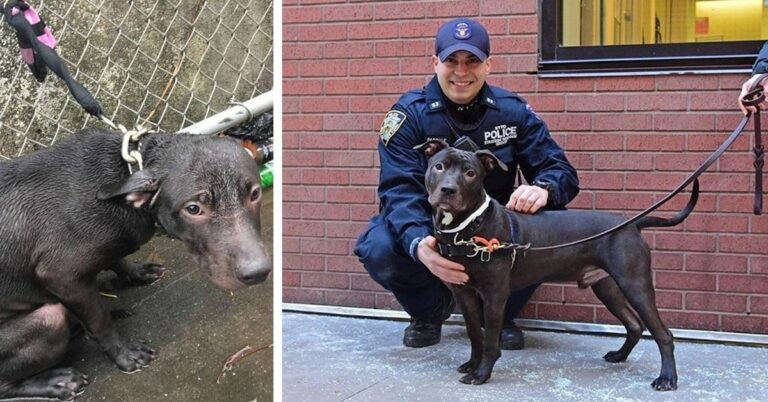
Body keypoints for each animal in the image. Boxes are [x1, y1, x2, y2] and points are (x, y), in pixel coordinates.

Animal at [0, 130, 272, 400]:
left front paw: (137, 274)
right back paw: (57, 382)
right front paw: (125, 355)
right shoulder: (62, 275)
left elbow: (117, 260)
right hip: (49, 319)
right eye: (193, 208)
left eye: (255, 194)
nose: (258, 272)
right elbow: (100, 321)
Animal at [420, 141, 696, 390]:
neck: (468, 228)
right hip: (608, 287)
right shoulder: (464, 293)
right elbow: (474, 334)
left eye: (471, 173)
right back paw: (620, 355)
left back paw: (667, 378)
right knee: (635, 325)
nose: (448, 189)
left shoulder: (494, 295)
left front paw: (482, 374)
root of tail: (631, 225)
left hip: (635, 284)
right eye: (439, 166)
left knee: (663, 334)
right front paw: (472, 364)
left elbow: (489, 340)